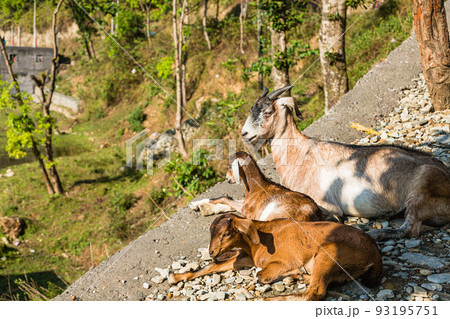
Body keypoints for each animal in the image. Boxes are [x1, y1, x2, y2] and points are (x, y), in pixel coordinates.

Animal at [169, 214, 384, 302]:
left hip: (328, 252)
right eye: (211, 232)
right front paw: (176, 277)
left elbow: (260, 275)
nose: (212, 252)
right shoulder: (246, 257)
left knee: (314, 293)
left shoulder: (282, 261)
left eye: (226, 234)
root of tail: (375, 255)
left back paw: (267, 298)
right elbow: (213, 267)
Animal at [190, 152, 324, 222]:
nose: (228, 179)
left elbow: (225, 198)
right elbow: (228, 199)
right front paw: (198, 206)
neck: (256, 186)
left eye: (229, 167)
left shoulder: (246, 209)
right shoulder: (244, 202)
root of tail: (315, 215)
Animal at [241, 85, 450, 240]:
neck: (300, 153)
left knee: (410, 228)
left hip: (421, 187)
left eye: (268, 111)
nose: (245, 134)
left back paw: (376, 232)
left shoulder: (325, 203)